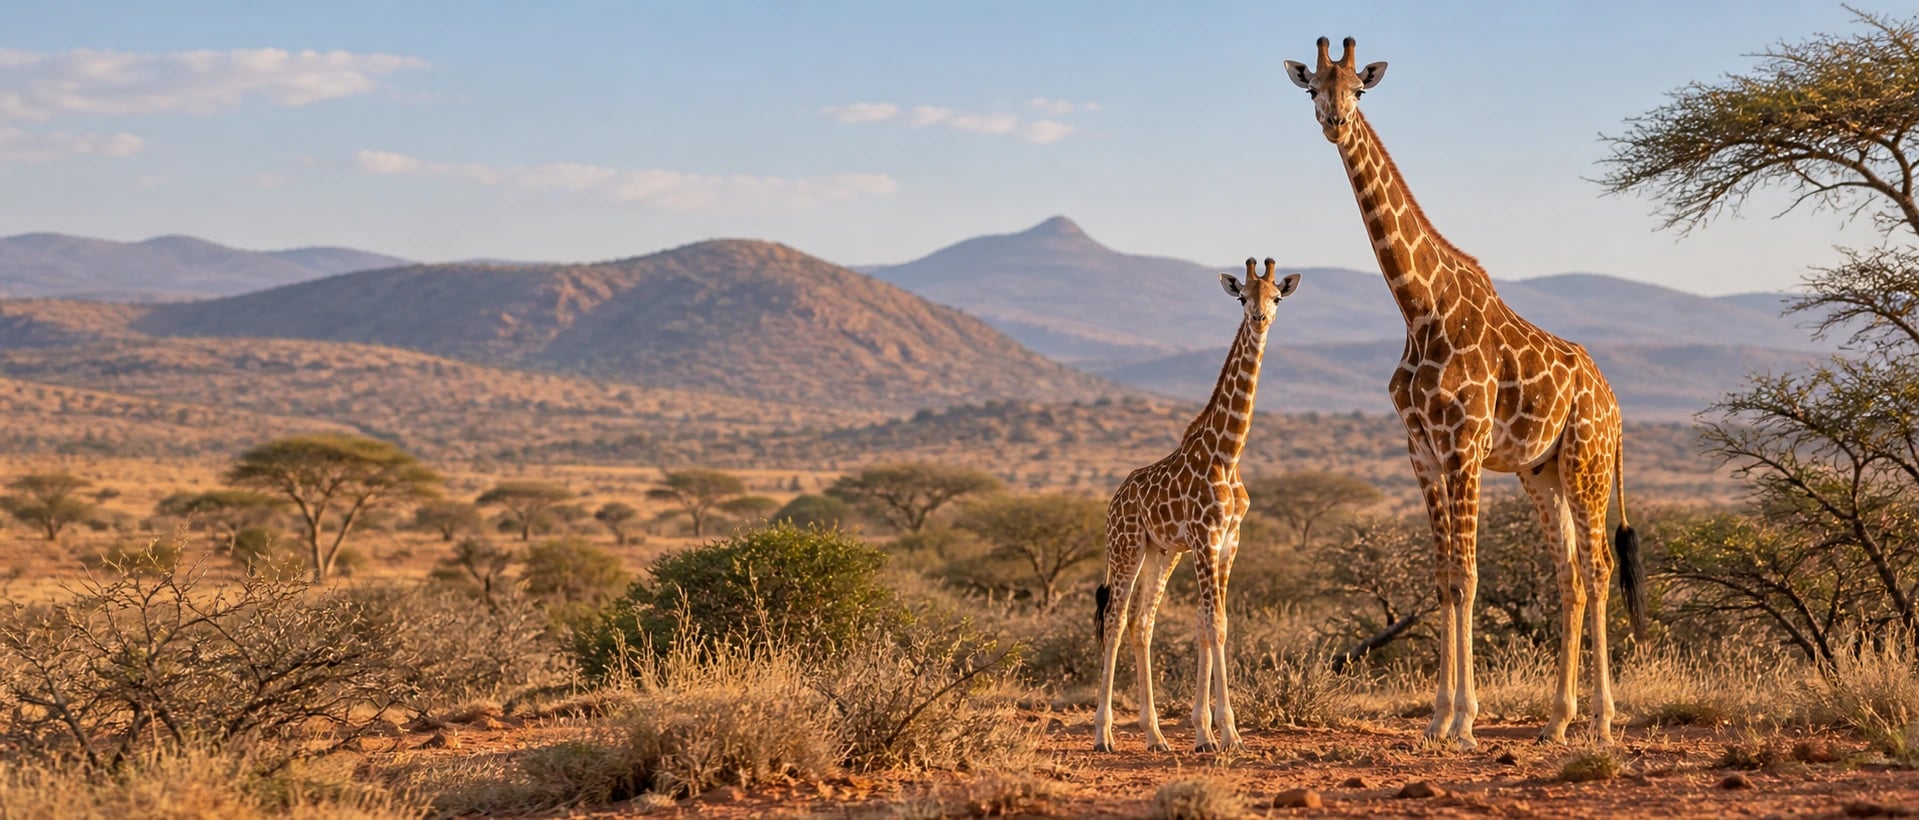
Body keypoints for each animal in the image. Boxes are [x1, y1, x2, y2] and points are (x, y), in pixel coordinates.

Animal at [1093, 258, 1301, 753]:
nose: (1259, 319)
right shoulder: (1206, 538)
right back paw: (1103, 733)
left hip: (1161, 552)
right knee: (1115, 618)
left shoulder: (1229, 541)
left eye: (1276, 297)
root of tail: (1114, 501)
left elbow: (1208, 624)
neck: (1229, 452)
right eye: (1242, 296)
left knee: (1142, 623)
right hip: (1126, 547)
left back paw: (1154, 735)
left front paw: (1206, 732)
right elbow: (1216, 623)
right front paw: (1226, 732)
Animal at [1281, 37, 1648, 751]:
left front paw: (1466, 722)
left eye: (1357, 89)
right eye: (1313, 86)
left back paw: (1602, 719)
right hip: (1542, 471)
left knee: (1598, 569)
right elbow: (1445, 577)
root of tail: (1616, 405)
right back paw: (1556, 722)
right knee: (1569, 576)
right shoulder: (1422, 450)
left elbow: (1470, 575)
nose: (1335, 122)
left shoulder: (1464, 446)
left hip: (1587, 462)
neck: (1418, 307)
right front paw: (1436, 719)